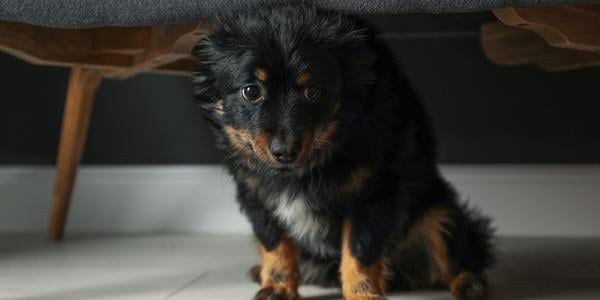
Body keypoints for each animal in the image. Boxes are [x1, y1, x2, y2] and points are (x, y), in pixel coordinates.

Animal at [193, 2, 496, 300]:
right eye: (251, 91)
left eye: (313, 91)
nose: (285, 151)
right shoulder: (257, 196)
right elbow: (275, 244)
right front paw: (278, 287)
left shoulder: (374, 193)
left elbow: (359, 250)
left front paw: (363, 293)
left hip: (440, 212)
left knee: (456, 255)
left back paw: (470, 283)